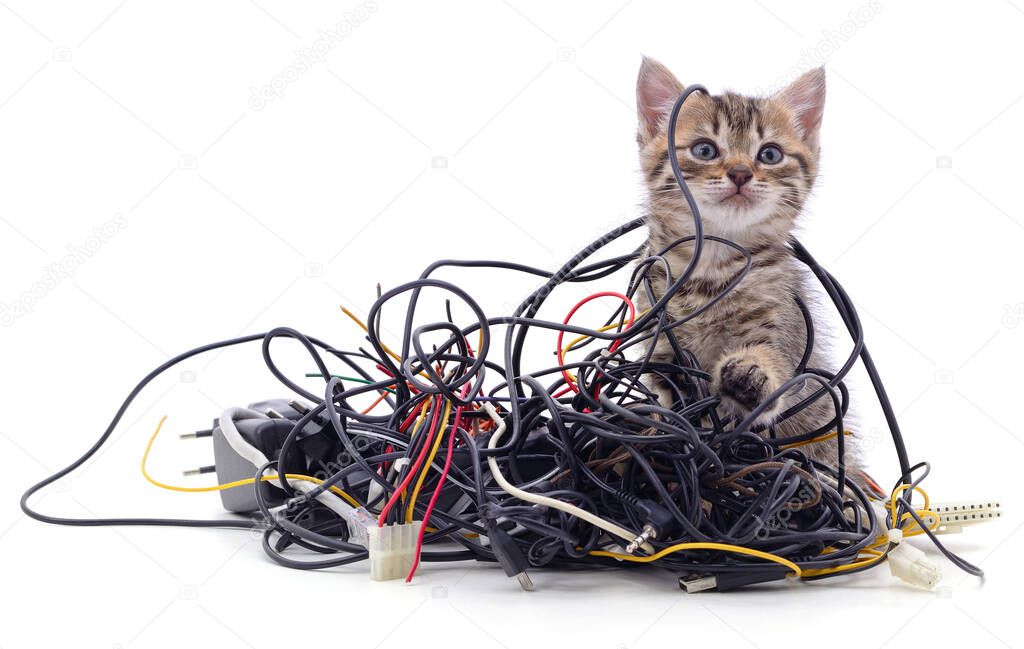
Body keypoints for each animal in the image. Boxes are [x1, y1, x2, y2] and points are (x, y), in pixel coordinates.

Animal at [630, 56, 856, 470]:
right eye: (705, 150)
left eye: (769, 154)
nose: (740, 173)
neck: (712, 269)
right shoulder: (663, 341)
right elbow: (669, 397)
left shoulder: (786, 329)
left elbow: (778, 365)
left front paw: (752, 374)